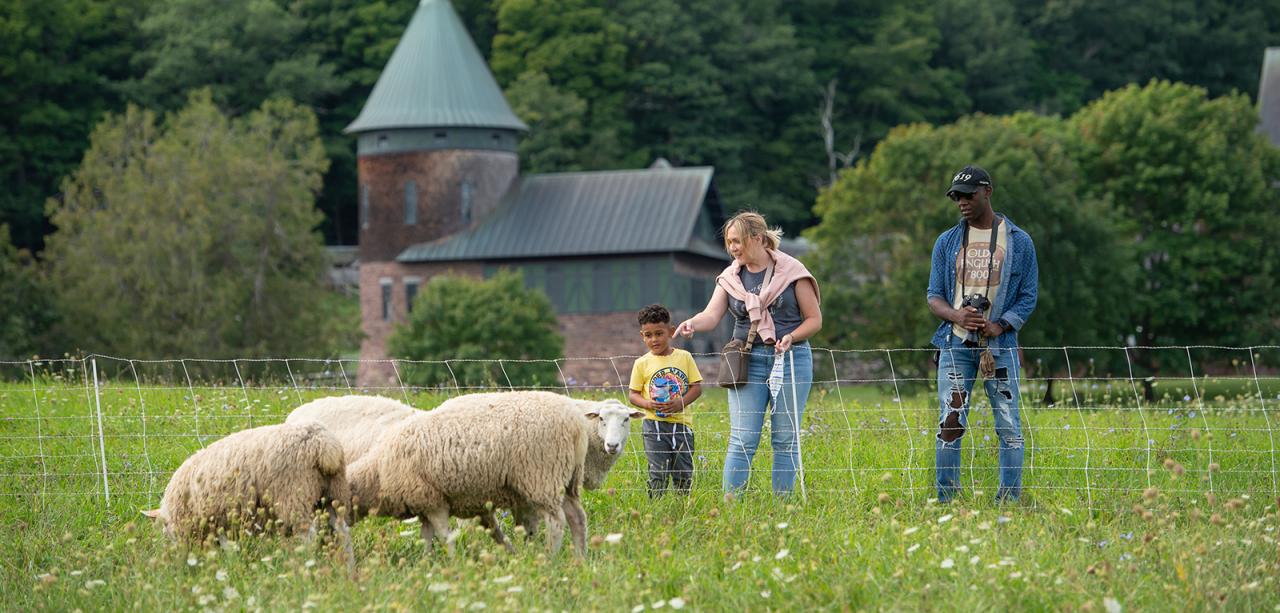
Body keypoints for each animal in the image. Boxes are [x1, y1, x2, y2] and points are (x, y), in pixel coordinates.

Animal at [141, 422, 350, 557]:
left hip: (294, 495)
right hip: (334, 493)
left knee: (308, 535)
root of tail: (323, 444)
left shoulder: (218, 517)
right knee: (343, 532)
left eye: (164, 529)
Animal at [348, 394, 606, 557]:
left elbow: (444, 536)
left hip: (542, 476)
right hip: (567, 479)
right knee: (577, 517)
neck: (377, 471)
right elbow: (426, 537)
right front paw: (427, 562)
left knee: (557, 522)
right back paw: (579, 558)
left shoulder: (435, 503)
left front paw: (451, 562)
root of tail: (576, 424)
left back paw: (549, 558)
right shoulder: (424, 503)